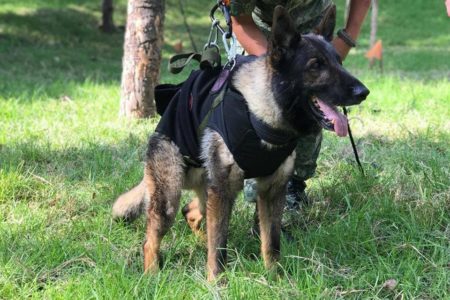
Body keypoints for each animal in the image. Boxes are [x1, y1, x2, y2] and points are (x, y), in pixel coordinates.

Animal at [113, 5, 370, 280]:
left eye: (339, 62)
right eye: (316, 65)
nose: (363, 92)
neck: (261, 116)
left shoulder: (271, 191)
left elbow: (271, 243)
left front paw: (275, 277)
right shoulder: (225, 191)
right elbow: (219, 248)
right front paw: (216, 282)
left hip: (209, 191)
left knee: (192, 213)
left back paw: (199, 243)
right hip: (172, 197)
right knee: (153, 239)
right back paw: (152, 273)